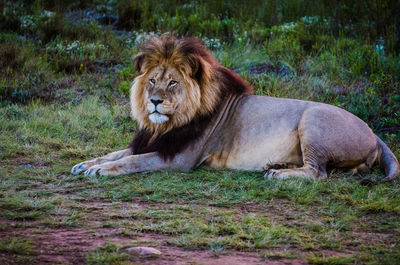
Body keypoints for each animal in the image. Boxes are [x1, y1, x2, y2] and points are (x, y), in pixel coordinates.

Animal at [72, 35, 400, 179]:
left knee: (318, 172)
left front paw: (100, 170)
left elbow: (132, 161)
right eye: (152, 81)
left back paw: (279, 175)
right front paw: (85, 164)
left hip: (314, 119)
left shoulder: (179, 158)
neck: (165, 126)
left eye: (173, 83)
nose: (154, 101)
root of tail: (374, 133)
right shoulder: (153, 142)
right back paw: (276, 166)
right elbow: (117, 152)